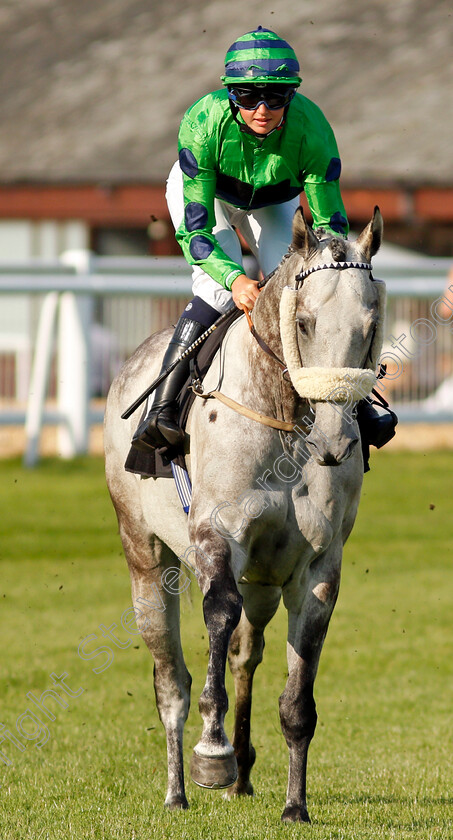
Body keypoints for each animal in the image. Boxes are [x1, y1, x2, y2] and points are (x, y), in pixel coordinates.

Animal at [104, 207, 384, 824]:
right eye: (303, 322)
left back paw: (245, 774)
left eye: (371, 324)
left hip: (264, 579)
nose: (337, 440)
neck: (285, 421)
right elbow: (218, 614)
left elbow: (297, 699)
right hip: (144, 558)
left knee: (244, 652)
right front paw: (213, 754)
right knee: (171, 680)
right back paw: (179, 790)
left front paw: (295, 806)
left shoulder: (316, 567)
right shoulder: (217, 537)